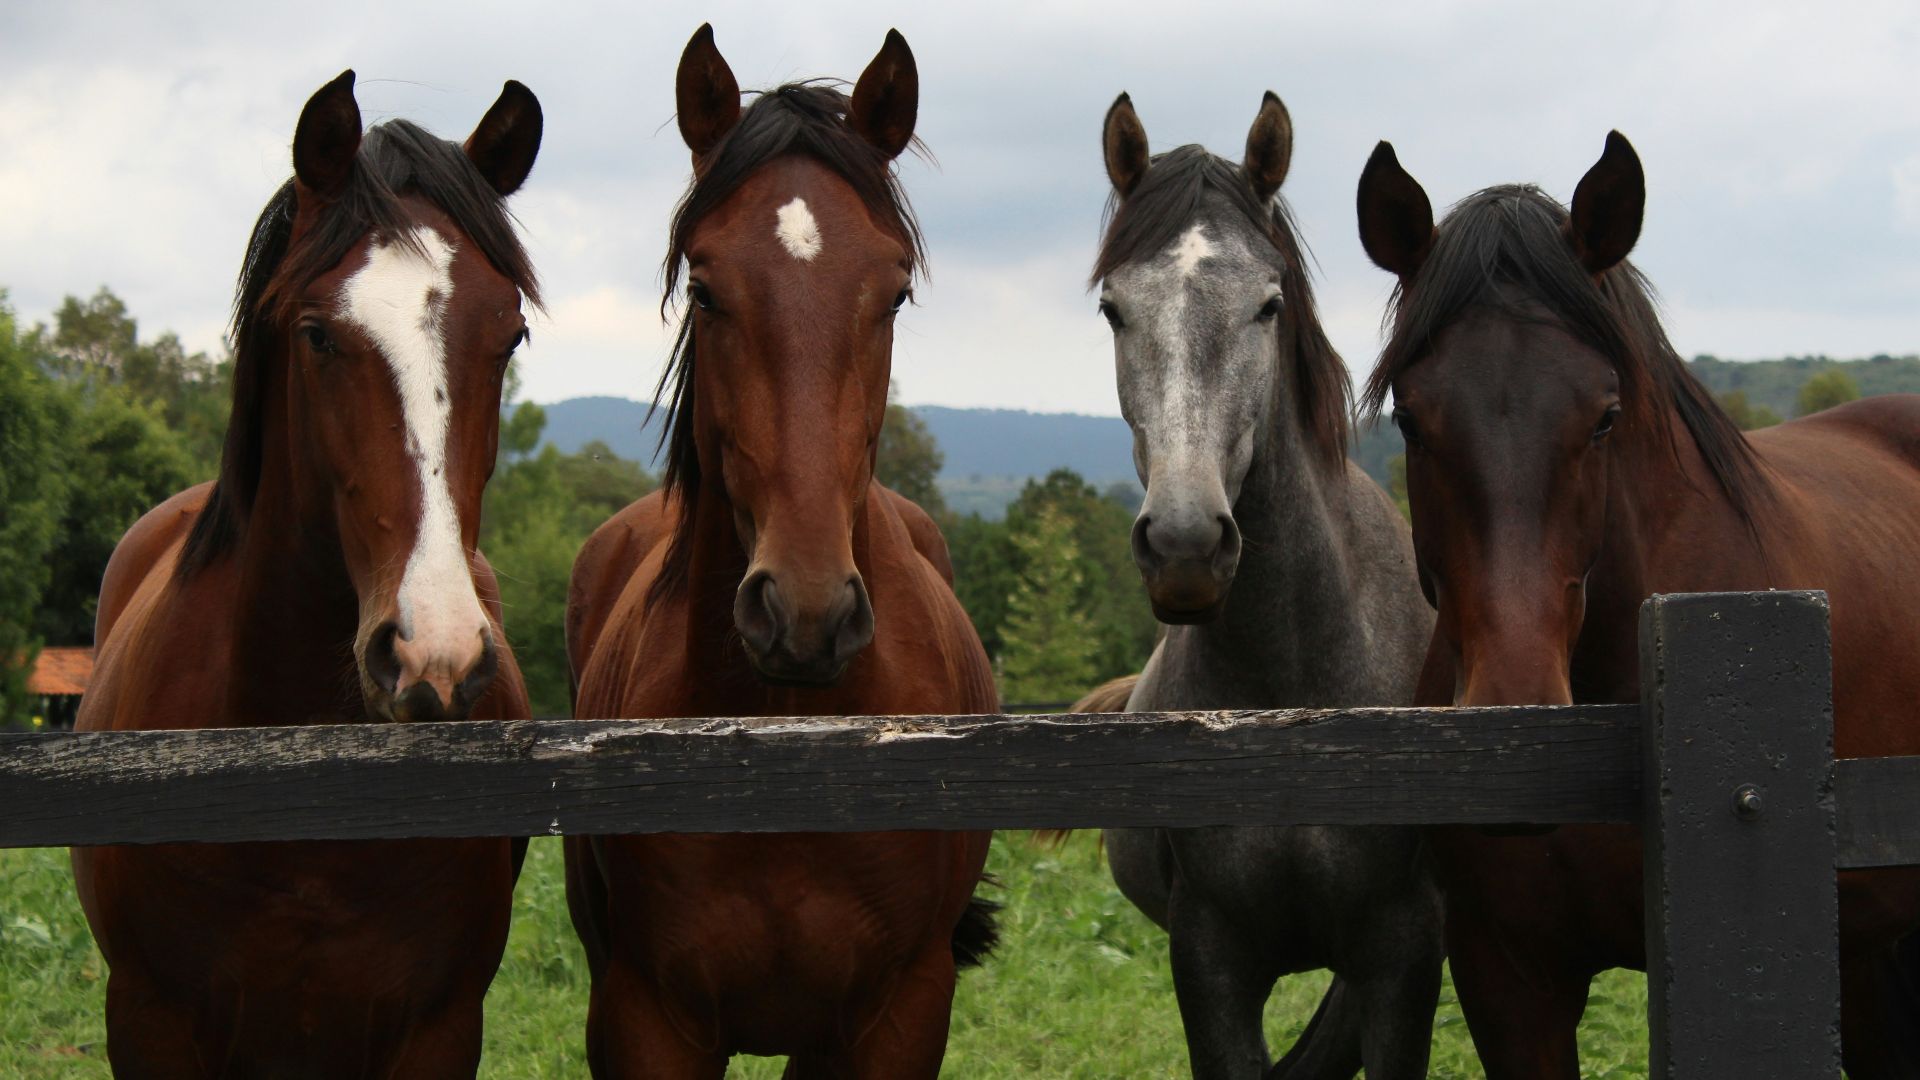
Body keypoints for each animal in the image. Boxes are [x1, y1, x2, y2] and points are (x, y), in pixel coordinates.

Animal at [562, 26, 997, 1078]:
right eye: (705, 287)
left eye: (895, 290)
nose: (805, 614)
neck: (786, 751)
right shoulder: (644, 1019)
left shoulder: (897, 1017)